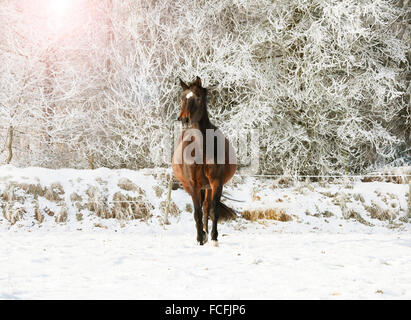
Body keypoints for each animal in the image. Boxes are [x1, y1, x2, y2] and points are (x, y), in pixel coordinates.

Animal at [172, 77, 237, 248]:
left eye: (198, 98)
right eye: (182, 98)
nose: (184, 119)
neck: (201, 149)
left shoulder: (216, 182)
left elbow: (213, 210)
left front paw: (213, 238)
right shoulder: (193, 184)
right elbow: (197, 212)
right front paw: (200, 239)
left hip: (208, 187)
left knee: (207, 207)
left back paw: (207, 234)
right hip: (191, 186)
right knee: (201, 209)